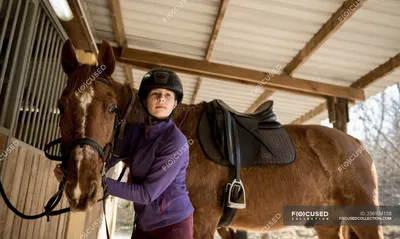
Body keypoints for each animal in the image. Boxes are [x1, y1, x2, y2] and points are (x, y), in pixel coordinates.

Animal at [56, 40, 384, 238]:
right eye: (61, 105)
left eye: (111, 109)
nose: (80, 189)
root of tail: (356, 145)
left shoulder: (202, 222)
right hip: (328, 223)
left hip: (363, 219)